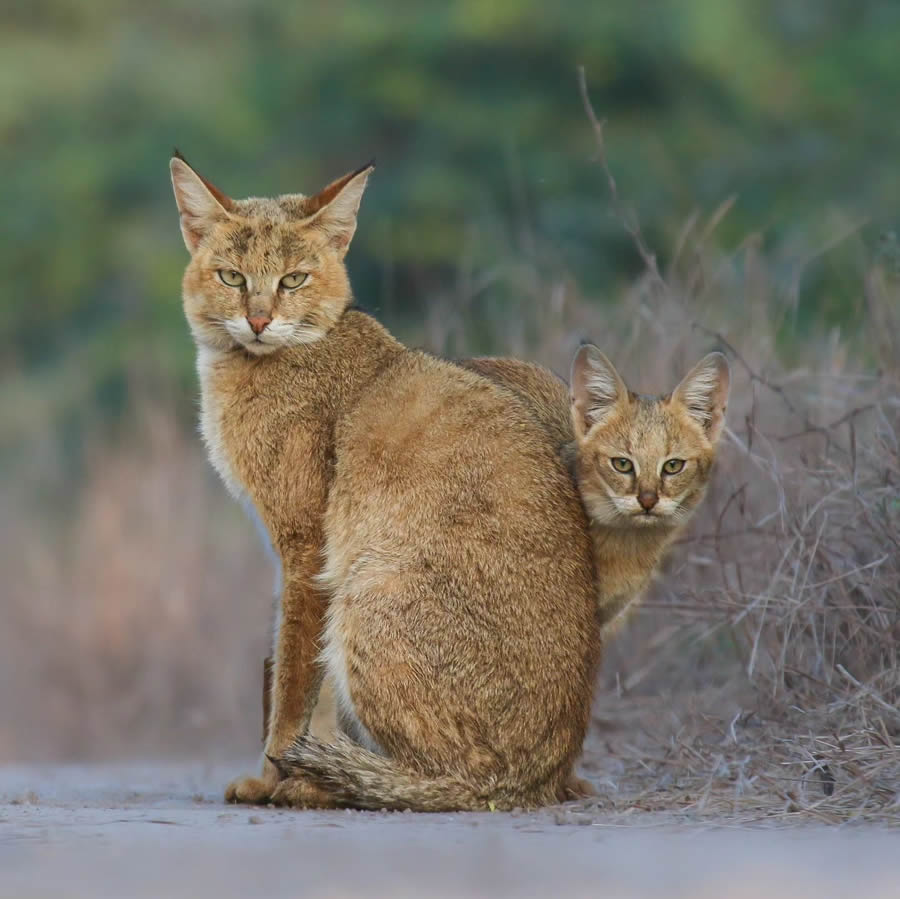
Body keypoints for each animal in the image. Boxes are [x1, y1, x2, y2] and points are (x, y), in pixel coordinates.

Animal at [171, 151, 600, 812]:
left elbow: (292, 684)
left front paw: (273, 777)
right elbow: (306, 683)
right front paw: (290, 773)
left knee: (450, 782)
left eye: (293, 280)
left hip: (371, 586)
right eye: (232, 277)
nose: (259, 319)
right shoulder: (303, 559)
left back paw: (340, 783)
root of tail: (535, 782)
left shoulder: (305, 550)